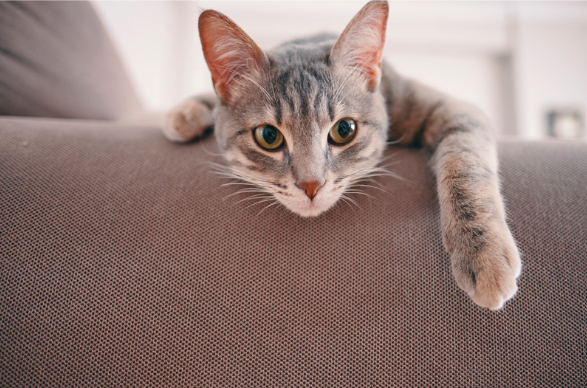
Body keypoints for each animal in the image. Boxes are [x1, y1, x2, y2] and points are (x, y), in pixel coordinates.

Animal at [163, 0, 520, 310]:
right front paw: (186, 111)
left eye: (344, 130)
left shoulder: (457, 112)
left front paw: (484, 253)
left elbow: (467, 168)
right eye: (269, 137)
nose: (311, 186)